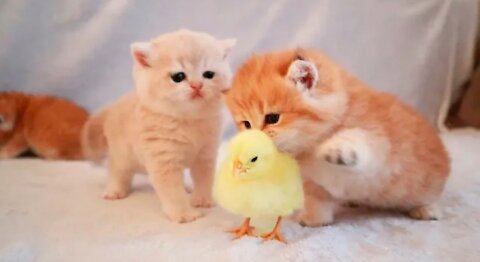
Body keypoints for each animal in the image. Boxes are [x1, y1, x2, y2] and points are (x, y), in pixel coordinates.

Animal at [83, 30, 236, 223]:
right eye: (178, 77)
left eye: (208, 74)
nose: (197, 85)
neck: (187, 120)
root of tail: (113, 107)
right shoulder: (163, 160)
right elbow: (173, 192)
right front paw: (183, 214)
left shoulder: (205, 155)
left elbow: (204, 180)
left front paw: (202, 200)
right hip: (123, 154)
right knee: (116, 169)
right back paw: (115, 190)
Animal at [225, 49, 450, 227]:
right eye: (246, 124)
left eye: (272, 118)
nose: (252, 144)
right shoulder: (312, 182)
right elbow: (317, 201)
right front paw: (314, 219)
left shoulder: (379, 148)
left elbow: (358, 138)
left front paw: (336, 148)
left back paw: (427, 210)